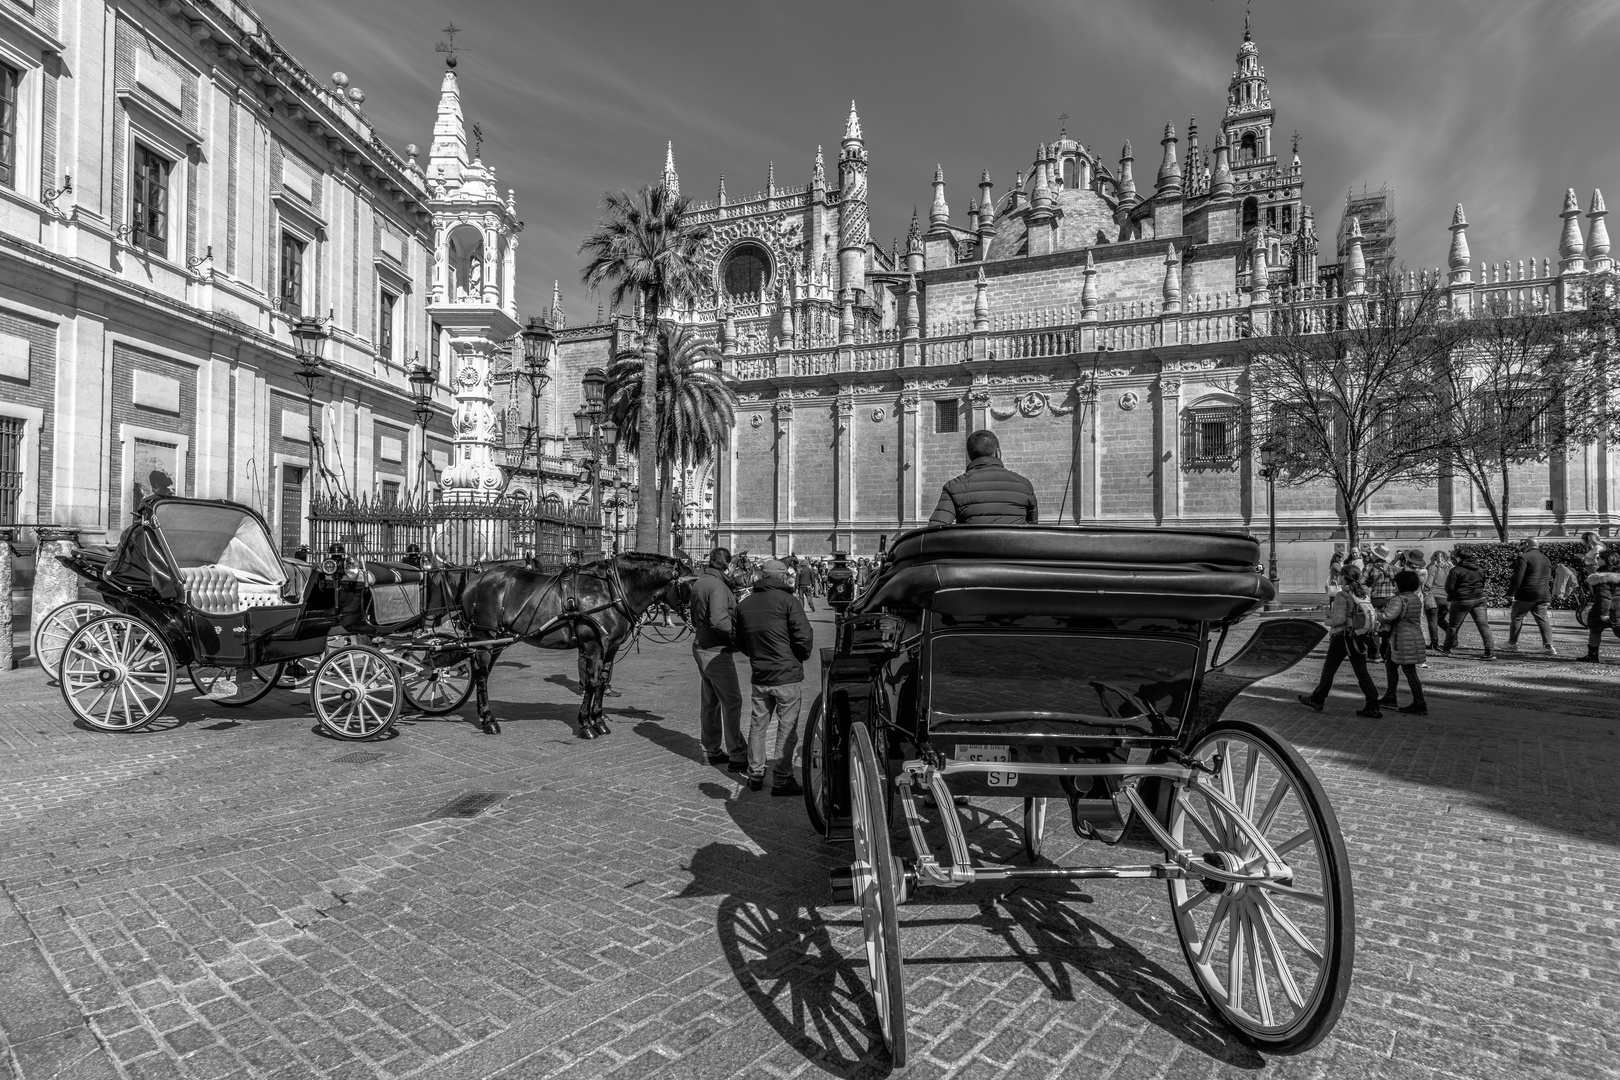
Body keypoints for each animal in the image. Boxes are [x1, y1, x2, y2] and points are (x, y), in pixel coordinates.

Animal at [456, 553, 690, 738]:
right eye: (690, 585)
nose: (693, 620)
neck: (612, 590)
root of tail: (475, 579)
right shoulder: (593, 645)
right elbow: (592, 683)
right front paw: (586, 725)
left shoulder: (611, 648)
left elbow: (602, 682)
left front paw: (599, 721)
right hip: (483, 637)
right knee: (481, 674)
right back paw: (489, 720)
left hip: (497, 640)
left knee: (483, 673)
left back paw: (484, 715)